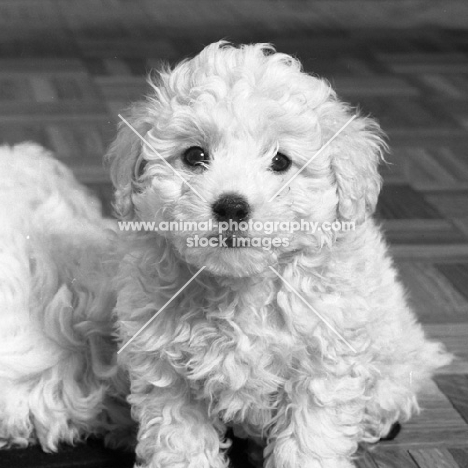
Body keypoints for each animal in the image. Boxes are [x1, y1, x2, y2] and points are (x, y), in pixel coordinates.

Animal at [108, 42, 452, 466]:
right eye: (194, 156)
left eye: (280, 161)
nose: (231, 207)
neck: (240, 287)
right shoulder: (168, 374)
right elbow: (179, 442)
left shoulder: (323, 366)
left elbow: (310, 440)